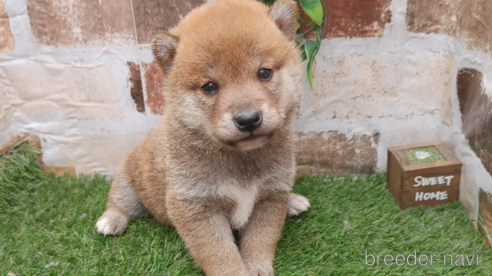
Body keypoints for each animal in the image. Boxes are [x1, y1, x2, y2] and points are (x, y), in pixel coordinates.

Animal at [95, 1, 310, 274]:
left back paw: (294, 201)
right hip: (128, 183)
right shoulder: (196, 206)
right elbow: (220, 253)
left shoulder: (271, 195)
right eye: (209, 87)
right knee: (119, 203)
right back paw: (110, 220)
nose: (248, 119)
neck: (240, 160)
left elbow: (261, 239)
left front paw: (257, 268)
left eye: (264, 73)